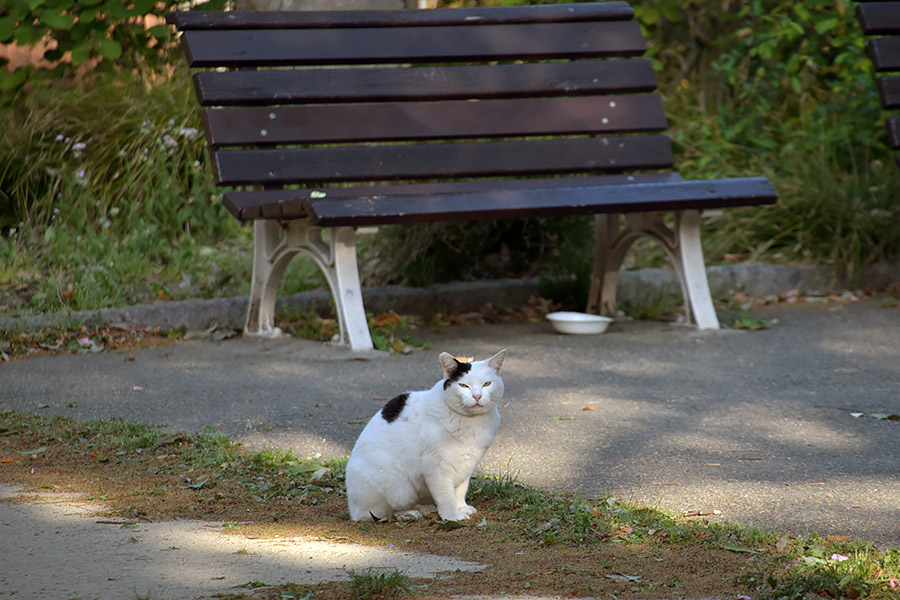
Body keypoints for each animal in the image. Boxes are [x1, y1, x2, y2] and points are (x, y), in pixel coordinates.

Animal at [346, 350, 506, 524]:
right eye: (464, 386)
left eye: (486, 384)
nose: (477, 396)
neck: (472, 422)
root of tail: (353, 510)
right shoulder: (437, 467)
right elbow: (446, 495)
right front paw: (452, 516)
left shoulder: (466, 464)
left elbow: (460, 490)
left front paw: (461, 507)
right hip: (397, 486)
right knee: (382, 514)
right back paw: (409, 513)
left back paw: (425, 508)